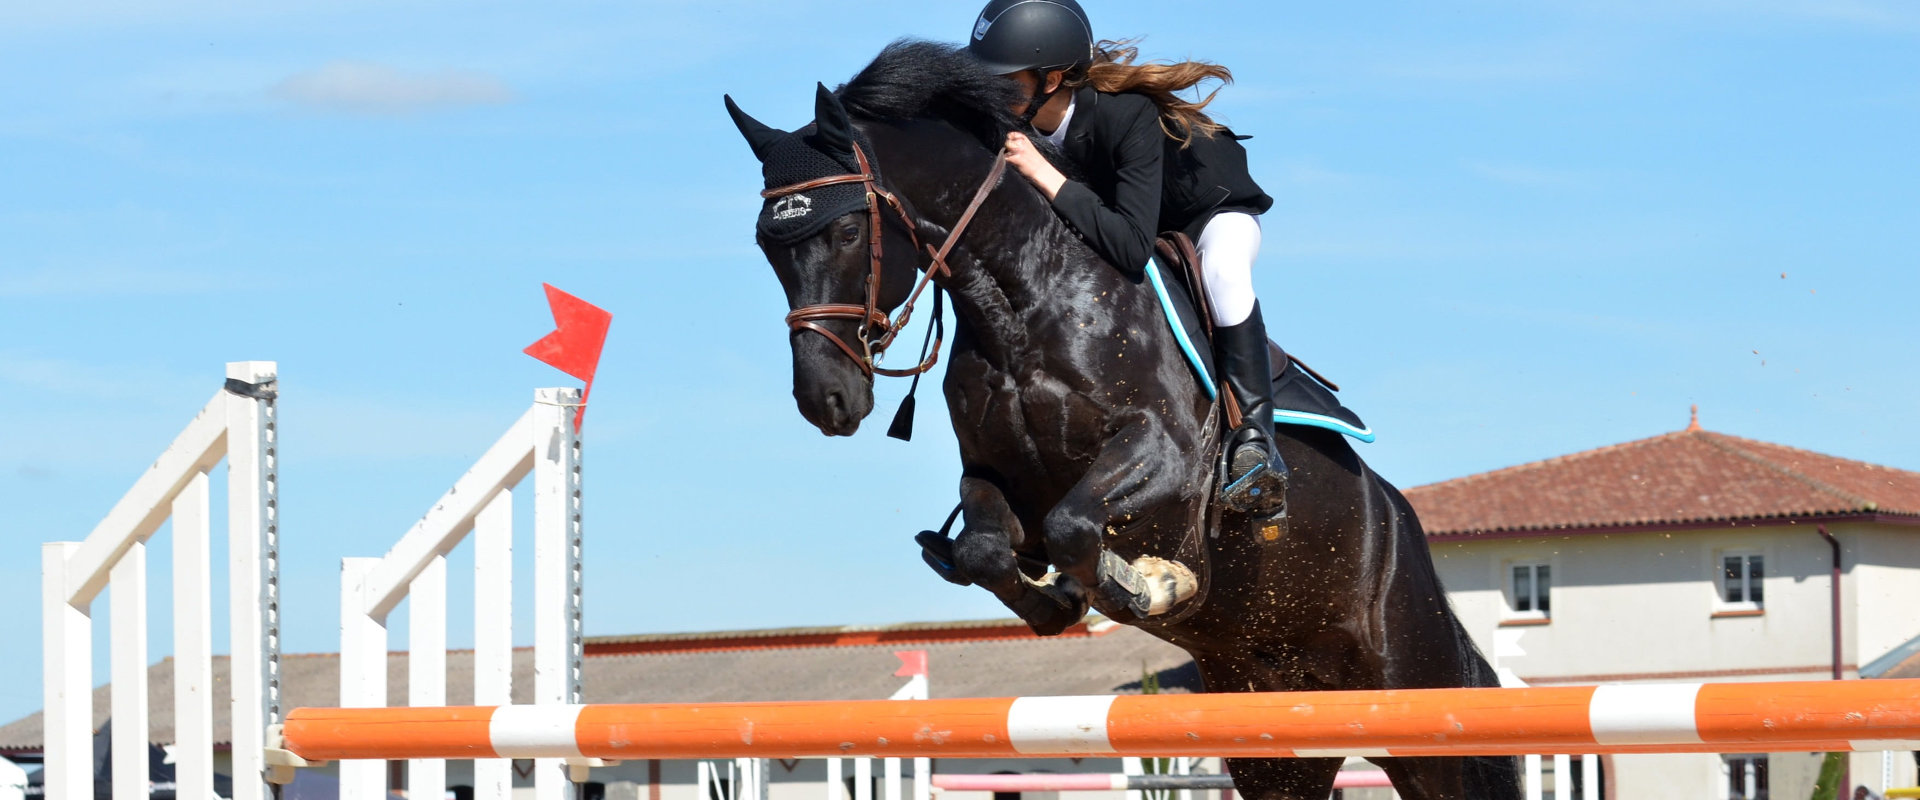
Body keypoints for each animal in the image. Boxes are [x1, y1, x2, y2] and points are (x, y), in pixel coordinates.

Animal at [725, 43, 1520, 798]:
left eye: (849, 231)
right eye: (766, 245)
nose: (825, 400)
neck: (1023, 300)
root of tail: (1399, 522)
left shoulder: (1165, 456)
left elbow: (1077, 525)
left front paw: (1153, 583)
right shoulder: (993, 475)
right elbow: (991, 549)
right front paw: (1062, 599)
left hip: (1420, 705)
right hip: (1274, 736)